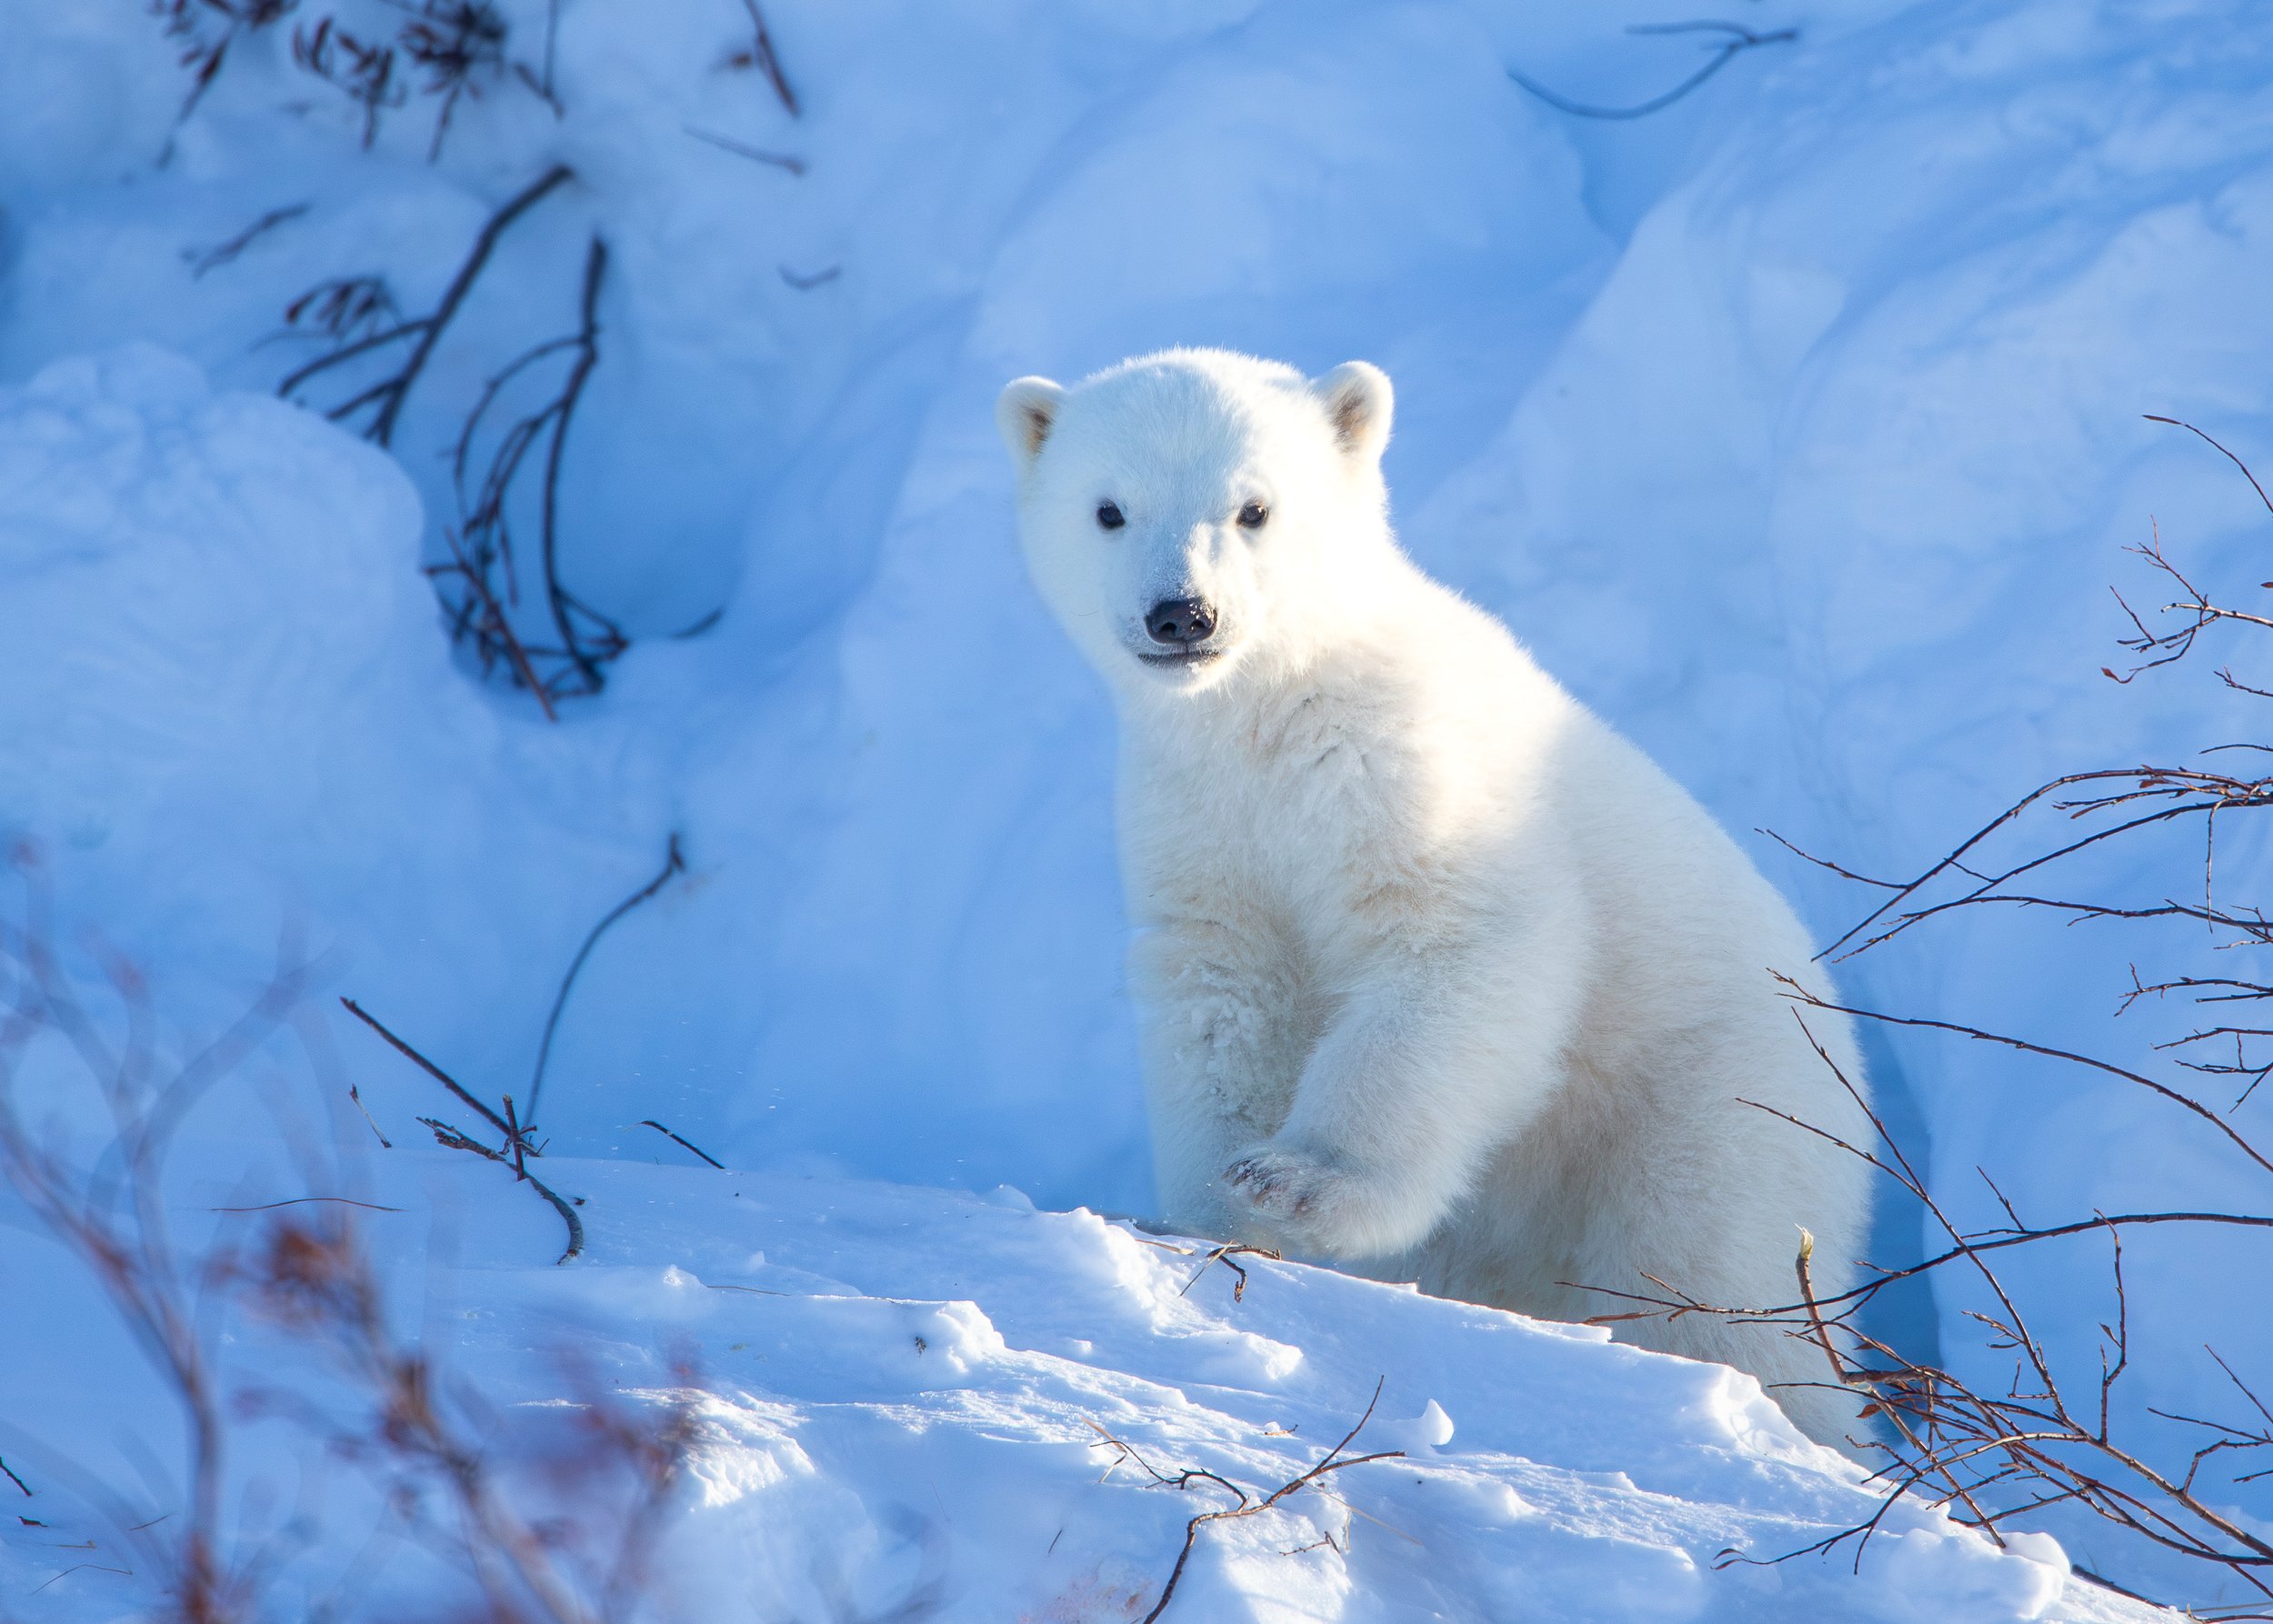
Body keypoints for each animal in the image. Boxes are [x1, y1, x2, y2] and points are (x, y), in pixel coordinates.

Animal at [995, 347, 1874, 1447]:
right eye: (1108, 508)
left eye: (1254, 507)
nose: (1182, 614)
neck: (1270, 715)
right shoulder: (1200, 822)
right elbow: (1227, 999)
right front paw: (1214, 1211)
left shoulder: (1412, 773)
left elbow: (1456, 950)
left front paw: (1302, 1178)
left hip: (1713, 1113)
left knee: (1712, 1277)